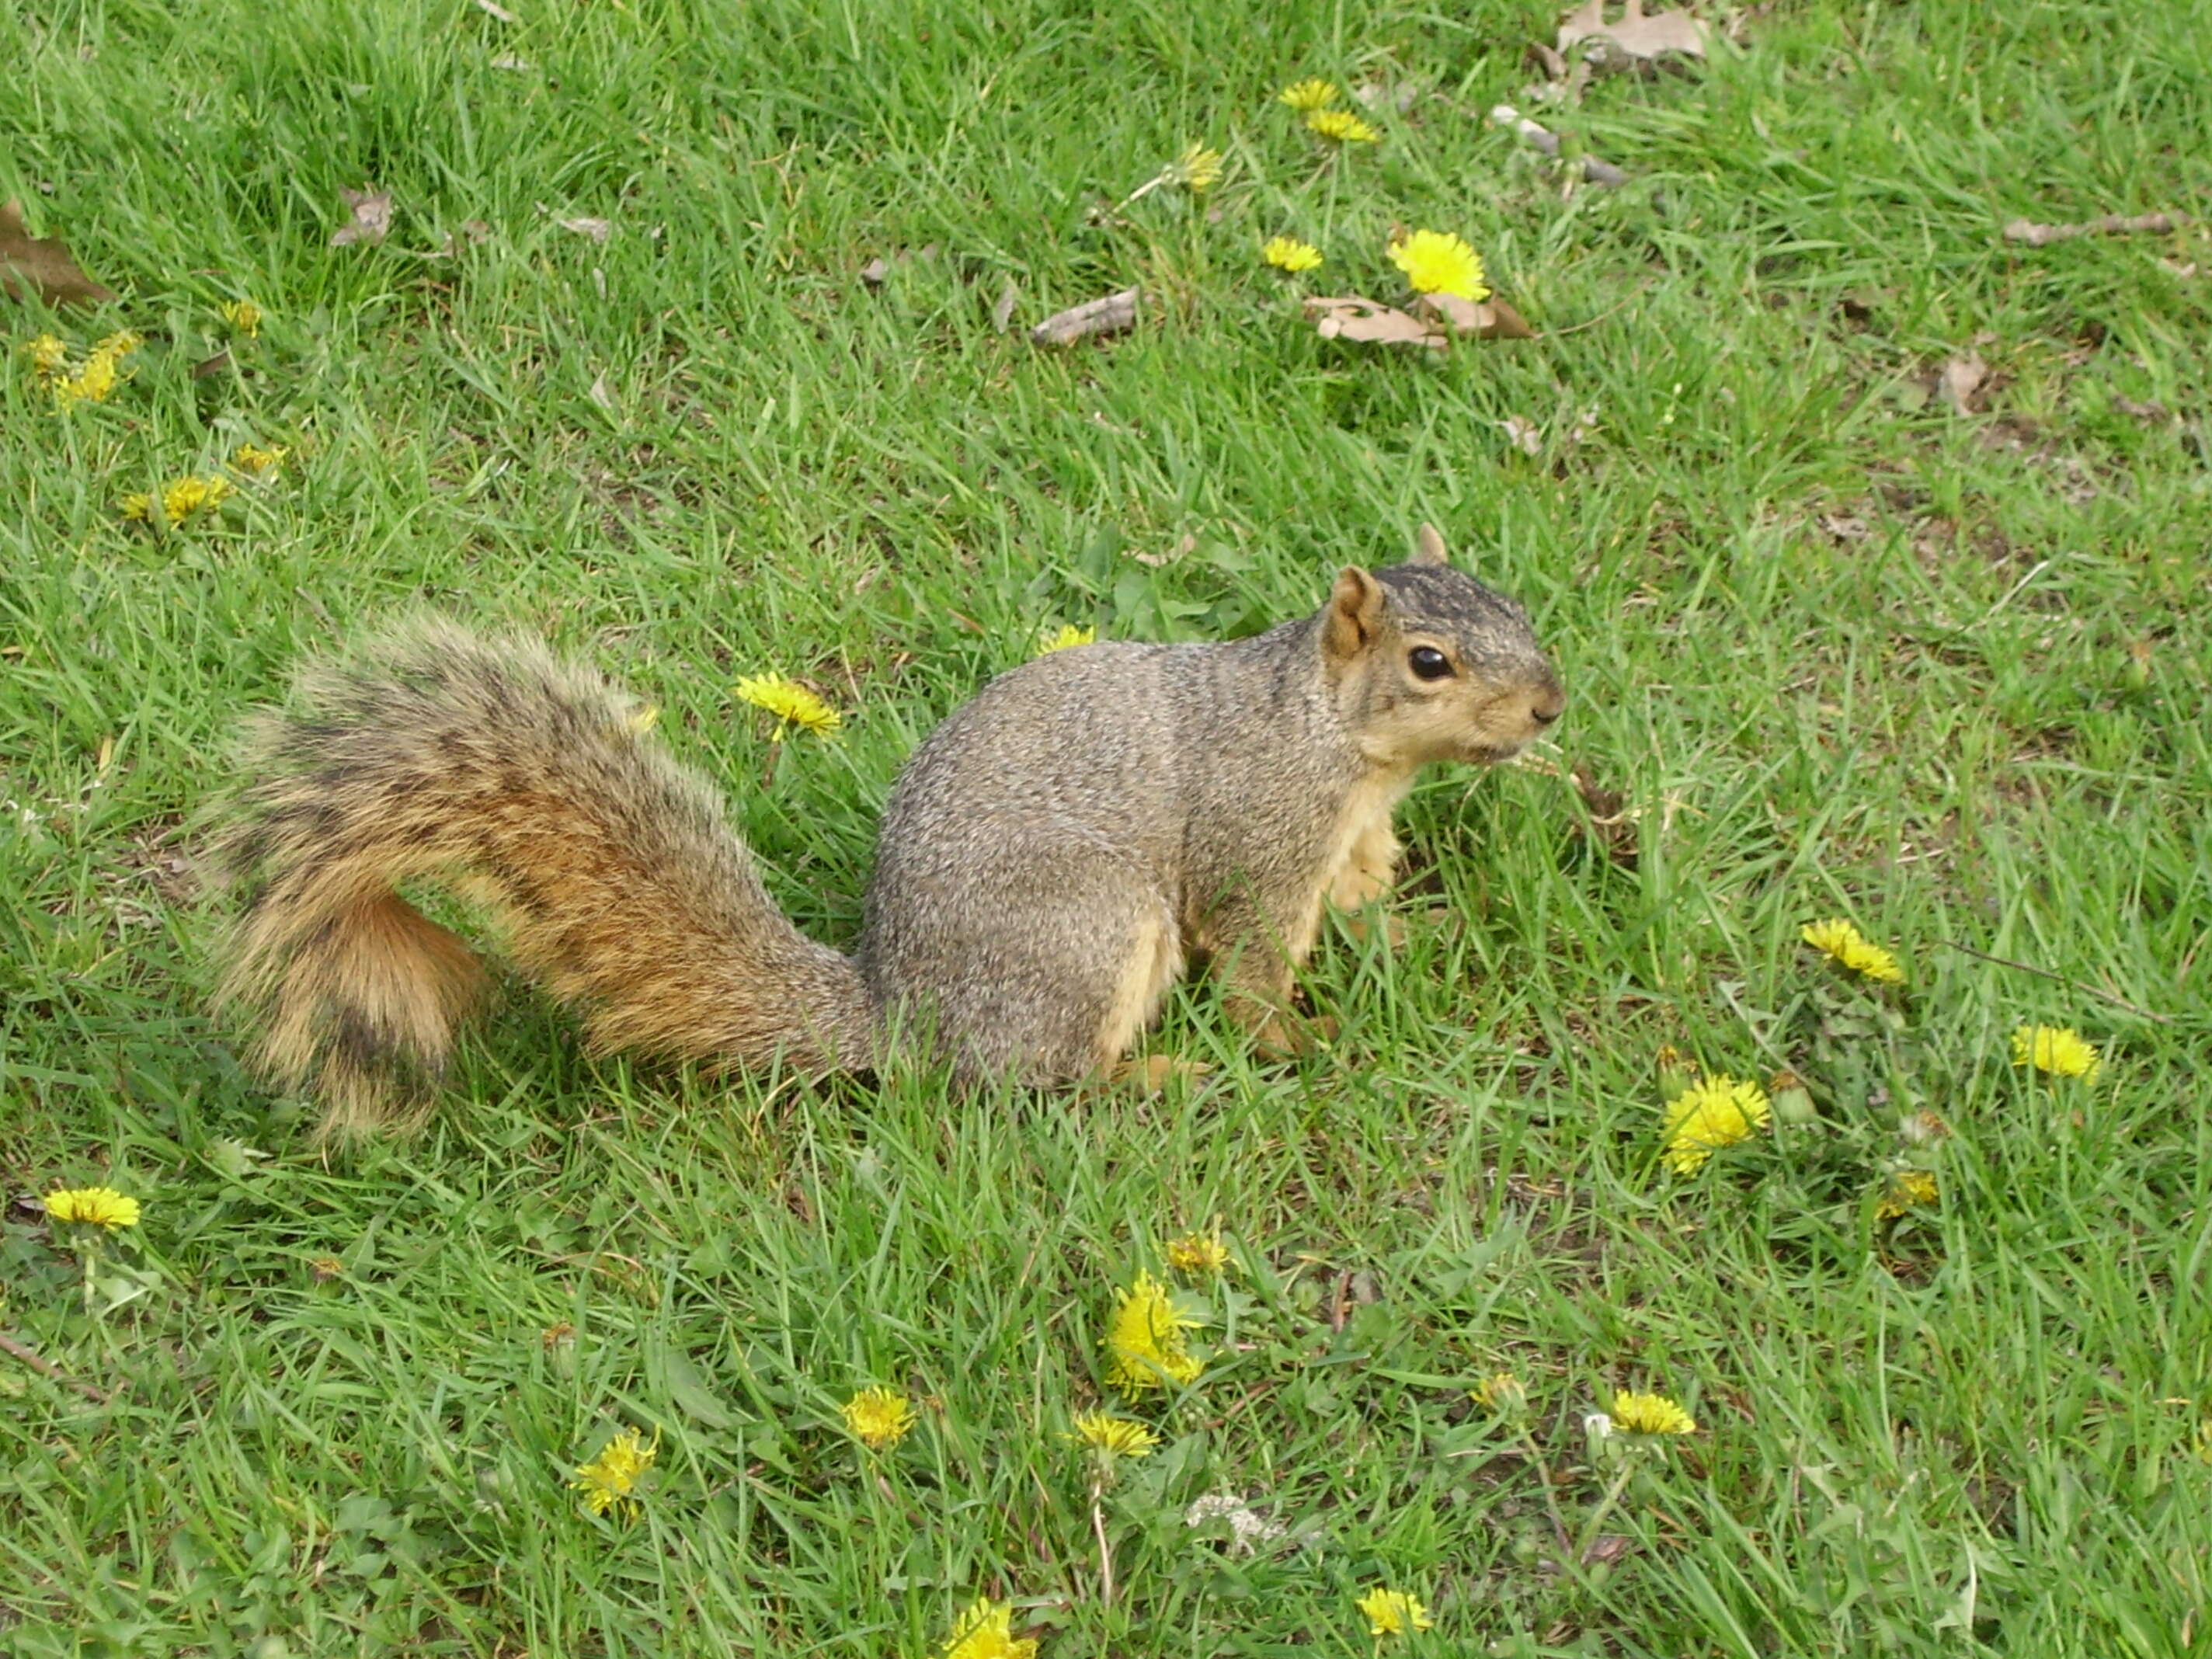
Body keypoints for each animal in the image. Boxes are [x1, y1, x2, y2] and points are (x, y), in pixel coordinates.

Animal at [207, 522, 1556, 1141]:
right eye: (1431, 662)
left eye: (1515, 605)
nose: (1551, 706)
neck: (1340, 745)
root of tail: (901, 1015)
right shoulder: (1258, 834)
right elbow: (1256, 955)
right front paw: (1293, 1042)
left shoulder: (1354, 835)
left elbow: (1362, 895)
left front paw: (1403, 939)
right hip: (1084, 936)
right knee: (1036, 1083)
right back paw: (1153, 1077)